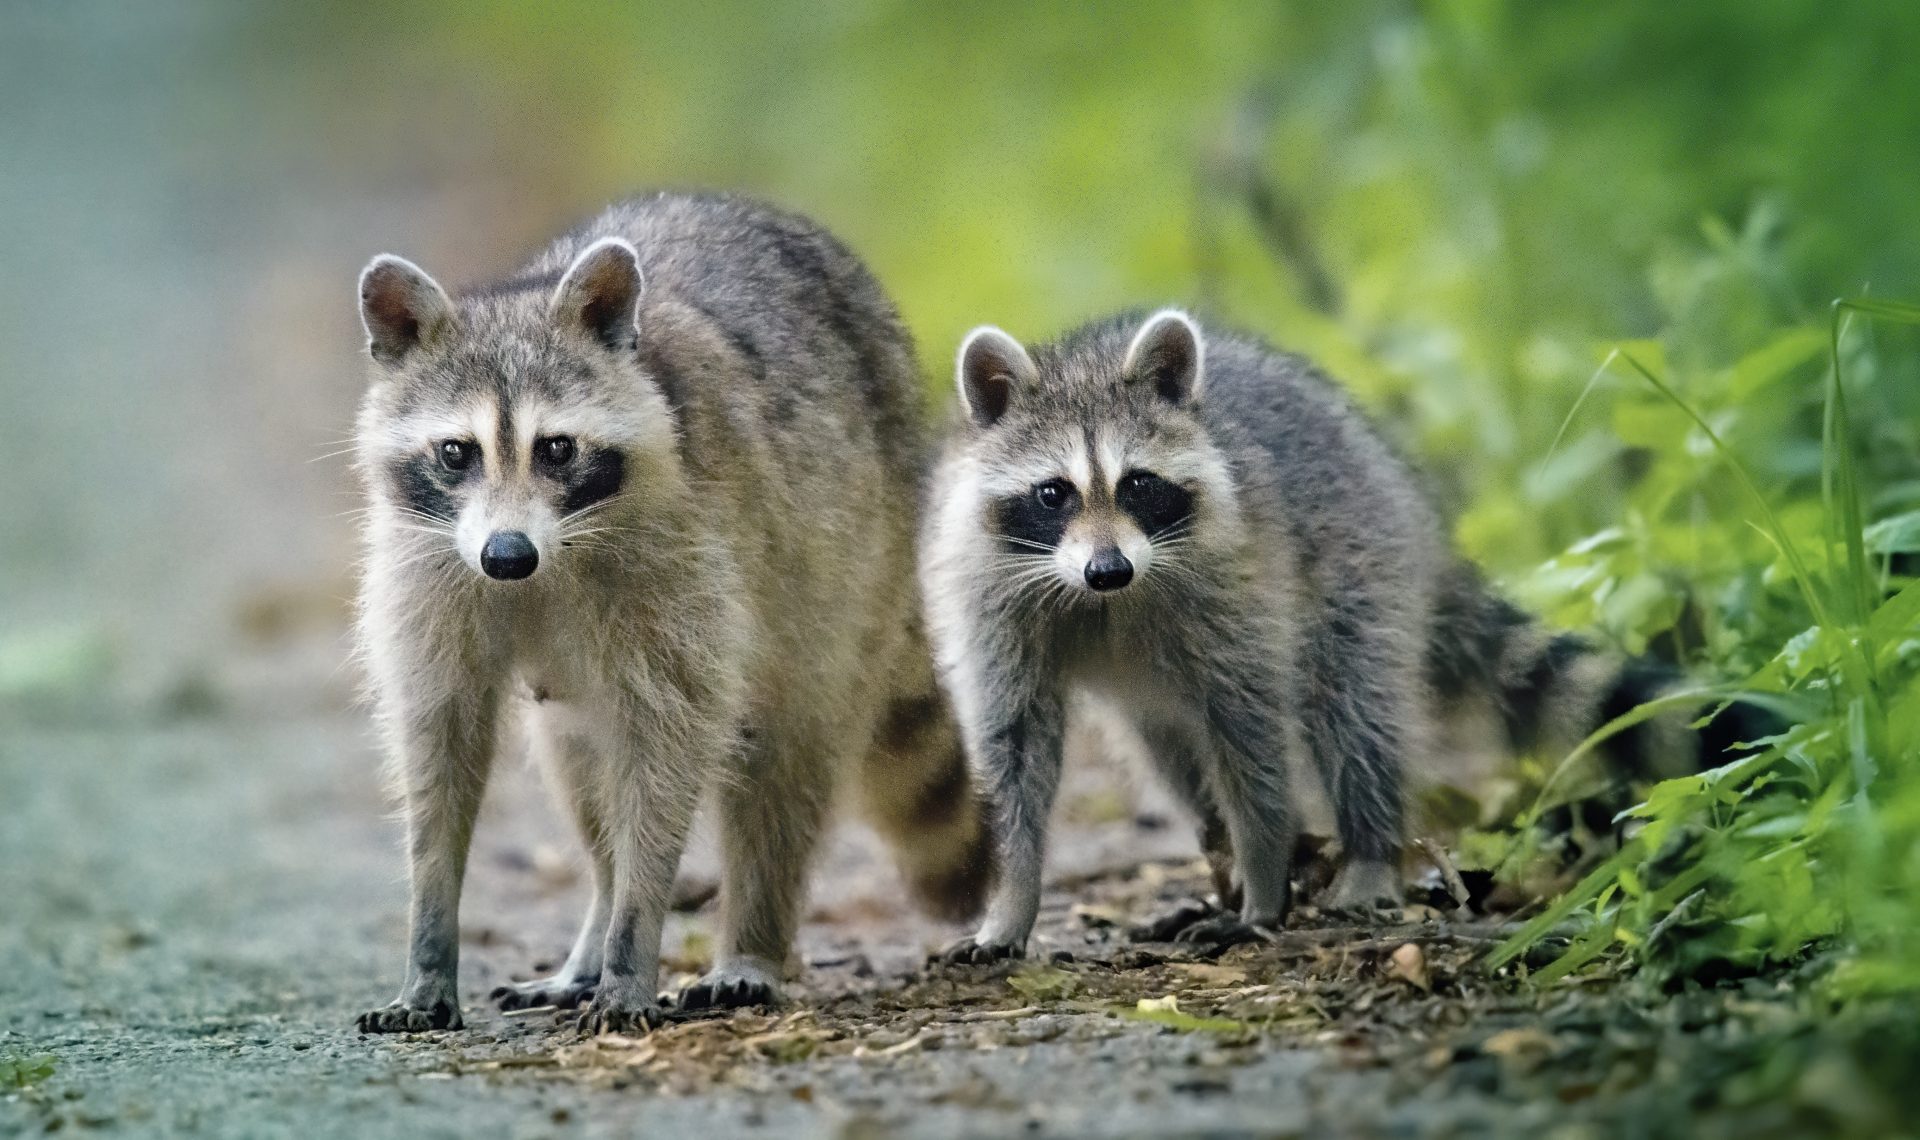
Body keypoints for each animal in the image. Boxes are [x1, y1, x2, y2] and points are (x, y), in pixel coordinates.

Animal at [353, 192, 998, 1028]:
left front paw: (634, 945)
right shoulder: (430, 568)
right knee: (580, 768)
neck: (547, 563)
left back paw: (749, 942)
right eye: (456, 452)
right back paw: (592, 932)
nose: (507, 555)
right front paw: (430, 951)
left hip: (848, 567)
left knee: (785, 759)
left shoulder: (683, 563)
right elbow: (438, 747)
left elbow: (667, 756)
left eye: (556, 449)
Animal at [921, 307, 1774, 955]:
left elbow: (1253, 734)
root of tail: (1415, 512)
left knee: (1352, 710)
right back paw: (1223, 864)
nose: (1109, 569)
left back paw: (1361, 850)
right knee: (1174, 758)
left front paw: (1266, 880)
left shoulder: (1238, 587)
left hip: (1358, 559)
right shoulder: (991, 599)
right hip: (1162, 688)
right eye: (1054, 493)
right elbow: (1011, 749)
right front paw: (1011, 897)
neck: (1100, 601)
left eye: (1138, 485)